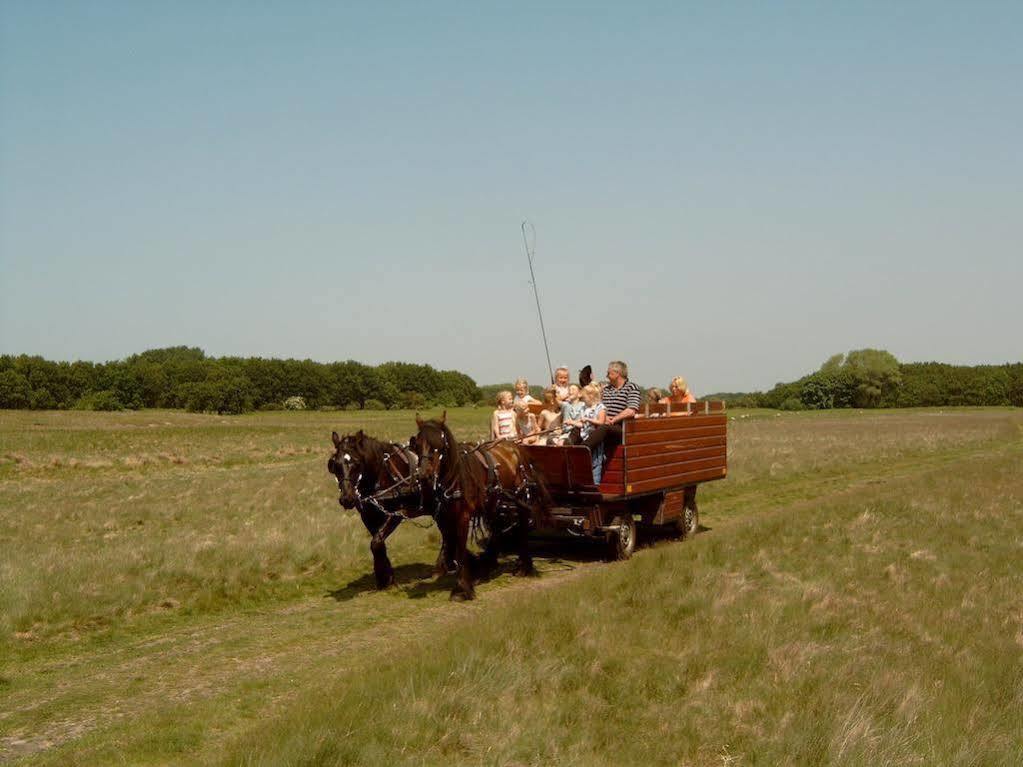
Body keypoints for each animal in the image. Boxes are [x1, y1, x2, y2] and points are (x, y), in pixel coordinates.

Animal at [325, 433, 425, 589]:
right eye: (334, 464)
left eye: (356, 463)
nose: (347, 498)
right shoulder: (368, 517)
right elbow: (378, 542)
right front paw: (386, 576)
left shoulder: (398, 512)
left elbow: (376, 542)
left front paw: (384, 576)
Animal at [407, 415, 552, 601]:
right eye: (417, 444)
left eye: (438, 445)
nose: (424, 475)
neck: (455, 476)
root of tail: (515, 447)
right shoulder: (444, 517)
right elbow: (450, 541)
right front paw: (468, 569)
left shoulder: (462, 516)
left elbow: (460, 548)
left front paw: (462, 588)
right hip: (496, 499)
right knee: (497, 527)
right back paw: (489, 563)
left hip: (520, 498)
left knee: (522, 526)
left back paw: (524, 566)